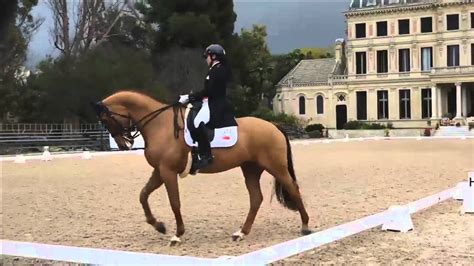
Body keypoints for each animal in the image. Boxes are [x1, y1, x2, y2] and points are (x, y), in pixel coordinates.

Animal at [94, 91, 312, 245]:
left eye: (105, 120)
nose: (123, 144)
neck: (160, 125)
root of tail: (274, 126)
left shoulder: (168, 171)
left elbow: (175, 202)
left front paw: (177, 235)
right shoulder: (159, 171)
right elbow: (143, 195)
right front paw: (159, 226)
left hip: (275, 166)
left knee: (293, 189)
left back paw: (305, 226)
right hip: (250, 168)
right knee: (256, 198)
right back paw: (241, 233)